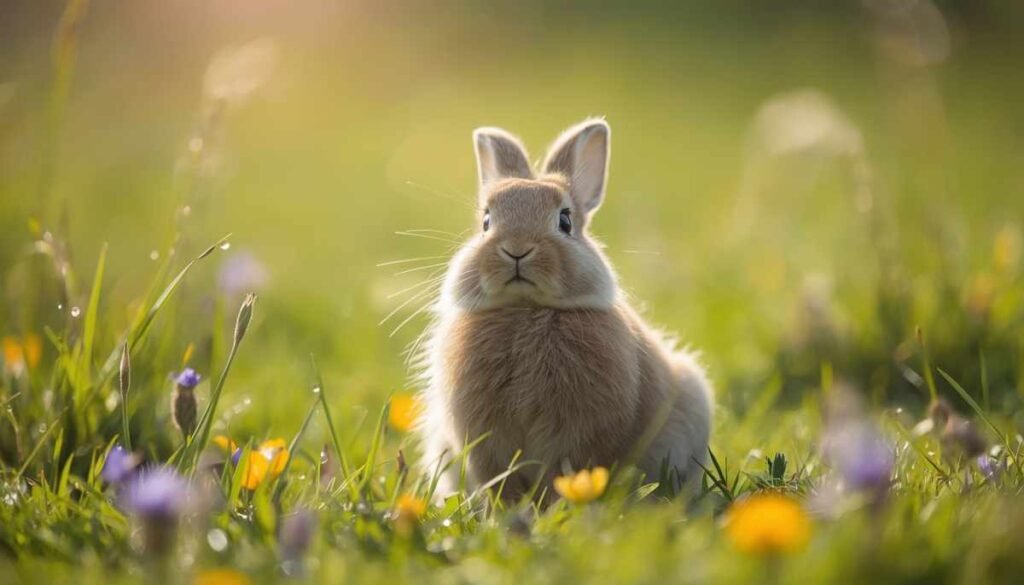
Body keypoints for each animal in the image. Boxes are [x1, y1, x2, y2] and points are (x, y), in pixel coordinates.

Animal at [415, 118, 713, 502]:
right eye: (486, 222)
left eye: (565, 221)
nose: (517, 249)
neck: (527, 309)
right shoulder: (481, 439)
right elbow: (496, 478)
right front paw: (507, 510)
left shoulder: (579, 434)